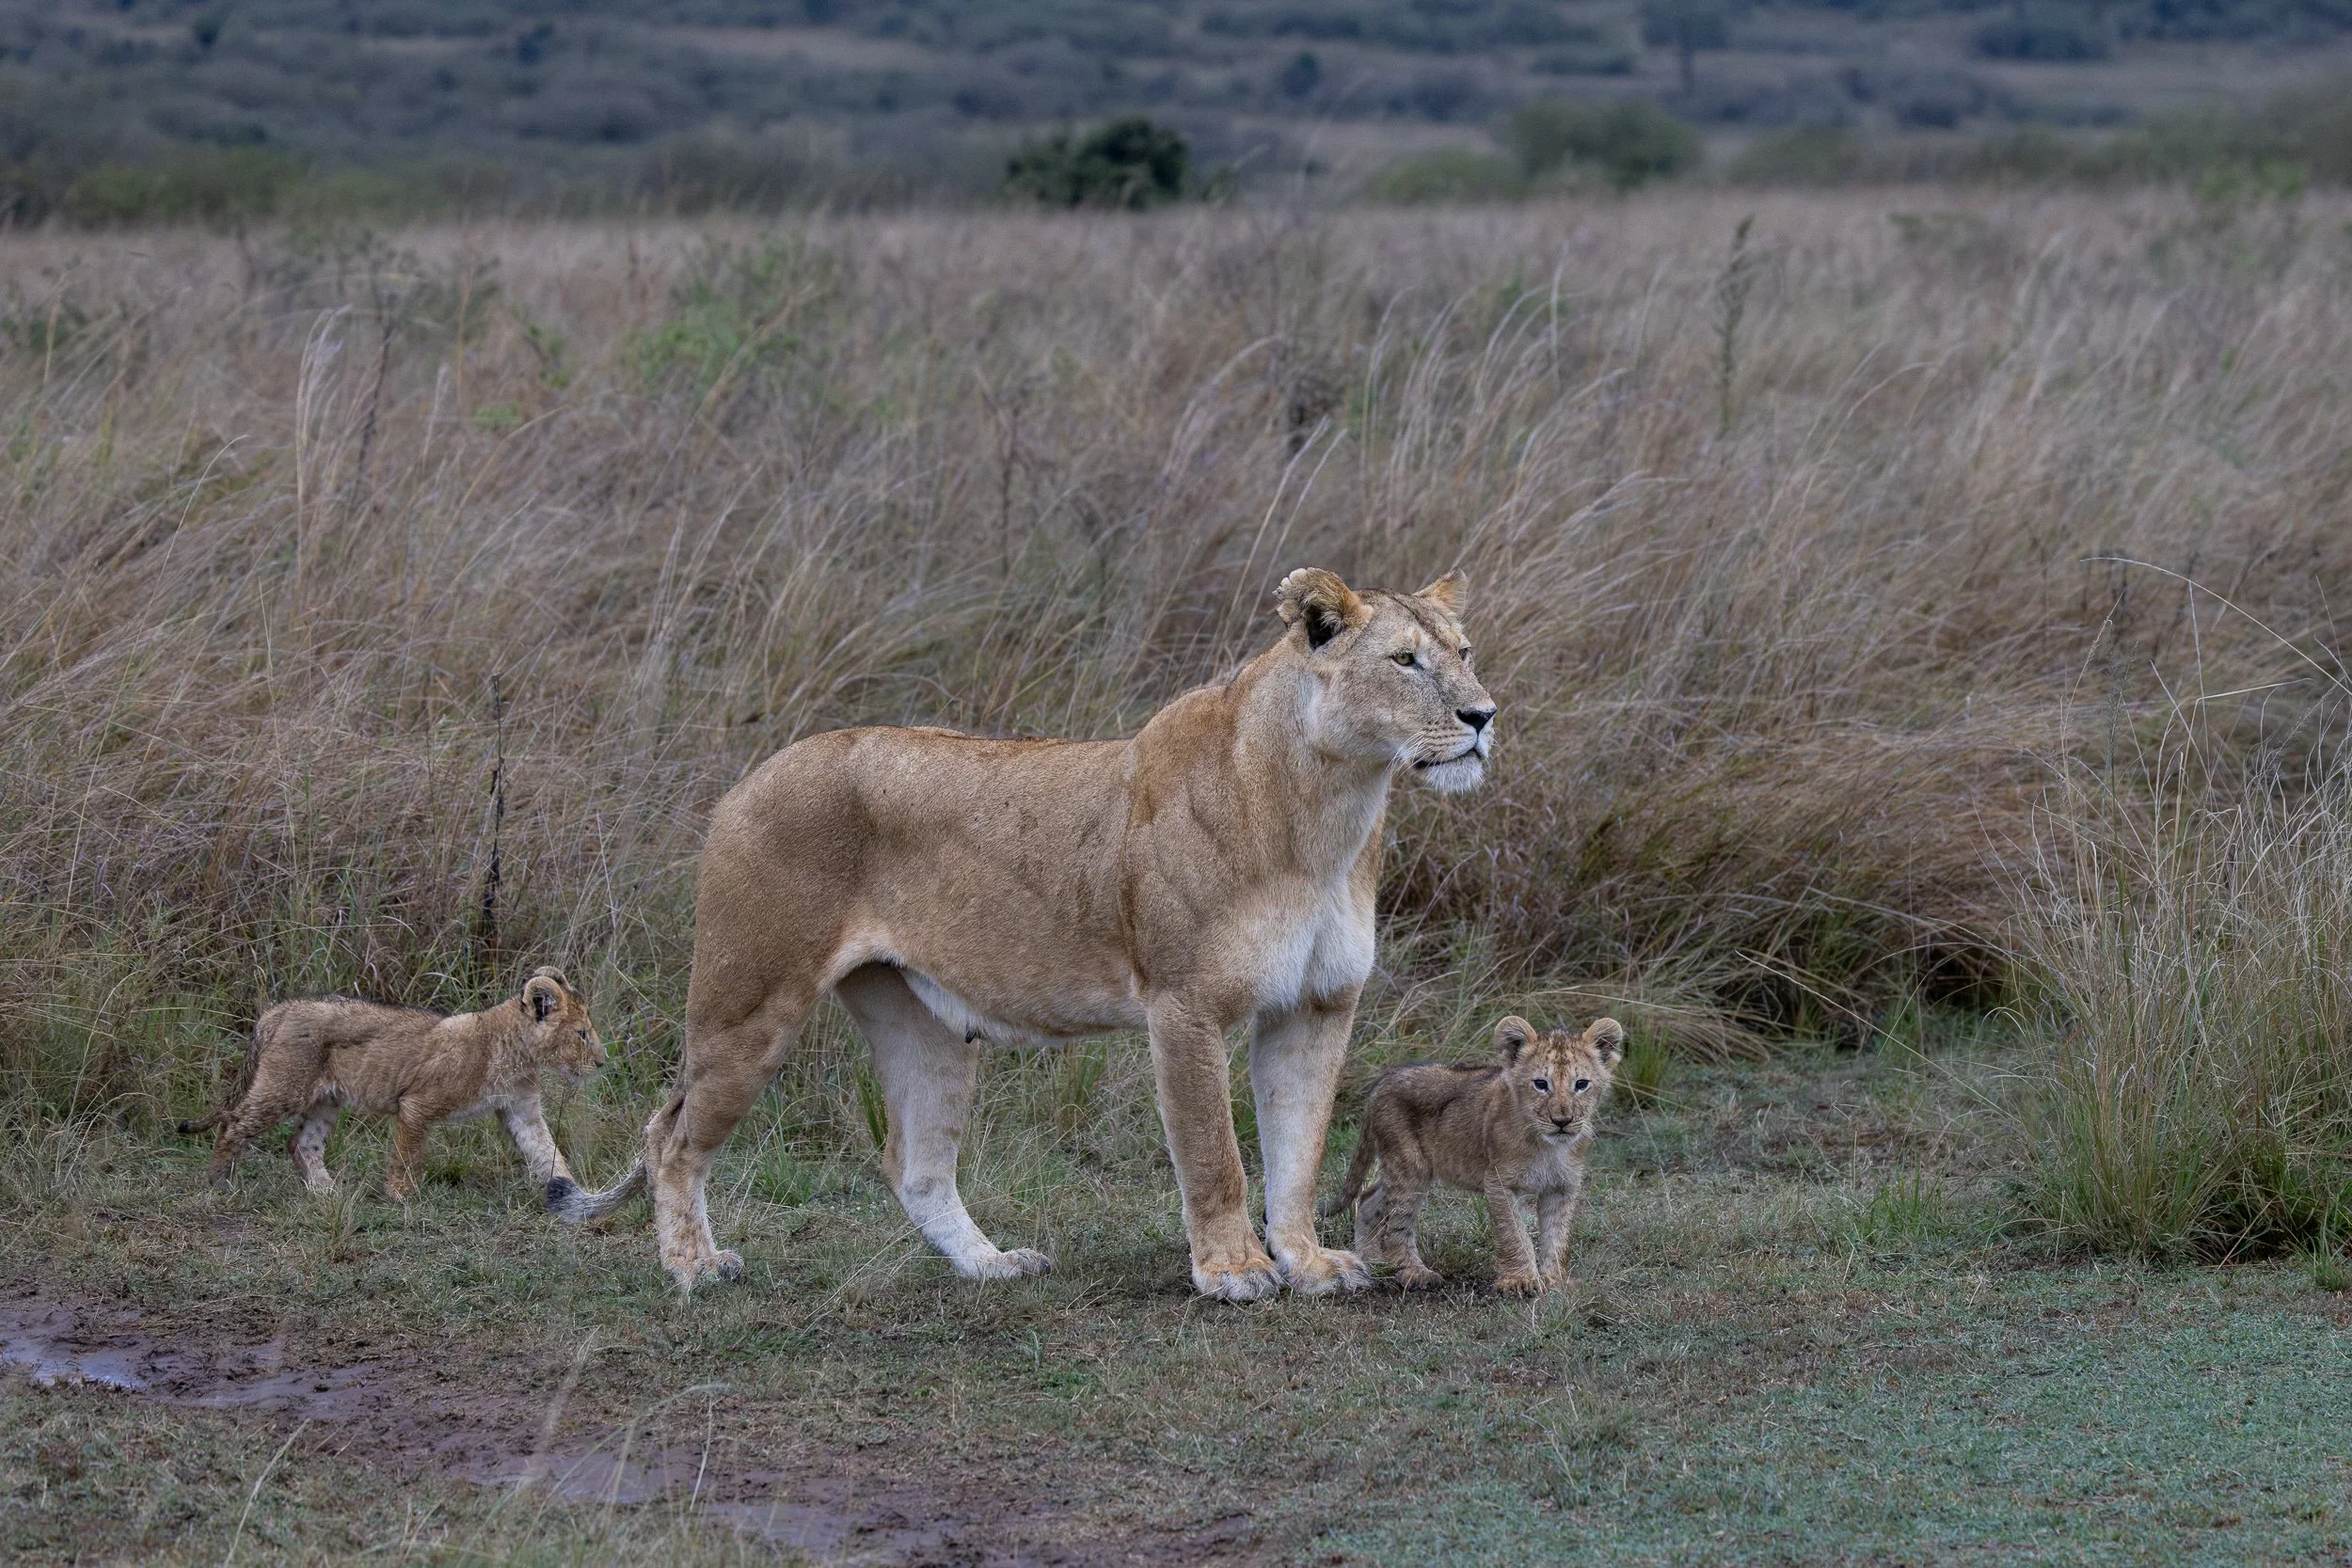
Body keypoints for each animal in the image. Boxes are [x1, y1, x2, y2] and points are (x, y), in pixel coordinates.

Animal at [178, 966, 605, 1202]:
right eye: (582, 1034)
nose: (602, 1063)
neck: (516, 1052)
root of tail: (277, 1011)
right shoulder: (417, 1104)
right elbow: (408, 1154)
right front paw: (401, 1195)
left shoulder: (521, 1110)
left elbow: (547, 1153)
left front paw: (576, 1196)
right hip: (284, 1087)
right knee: (233, 1124)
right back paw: (220, 1183)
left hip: (325, 1099)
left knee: (302, 1144)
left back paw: (327, 1191)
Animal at [550, 566, 1496, 1301]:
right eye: (1404, 660)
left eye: (1464, 652)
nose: (1484, 716)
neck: (1330, 810)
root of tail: (752, 776)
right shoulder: (1185, 1005)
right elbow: (1213, 1154)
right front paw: (1232, 1271)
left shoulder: (1317, 1006)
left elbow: (1297, 1149)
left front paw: (1306, 1261)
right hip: (750, 1003)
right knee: (671, 1138)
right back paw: (694, 1268)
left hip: (923, 1024)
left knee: (914, 1164)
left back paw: (993, 1265)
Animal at [1322, 1016, 1623, 1295]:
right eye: (1540, 1084)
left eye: (1581, 1084)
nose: (1562, 1121)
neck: (1549, 1146)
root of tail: (1383, 1082)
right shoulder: (1500, 1181)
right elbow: (1513, 1233)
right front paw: (1520, 1281)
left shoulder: (1563, 1187)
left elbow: (1558, 1237)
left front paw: (1554, 1281)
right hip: (1409, 1165)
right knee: (1397, 1226)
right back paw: (1413, 1272)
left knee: (1368, 1198)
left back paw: (1370, 1261)